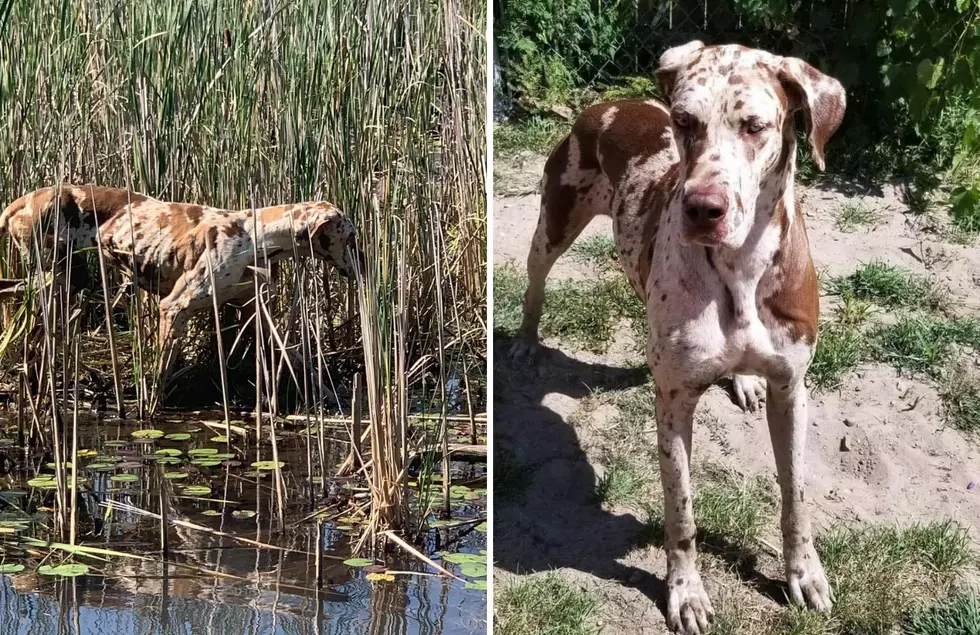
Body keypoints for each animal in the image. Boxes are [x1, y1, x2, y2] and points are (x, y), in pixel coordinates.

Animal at [3, 184, 364, 388]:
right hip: (58, 280)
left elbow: (296, 357)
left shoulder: (254, 309)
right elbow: (160, 378)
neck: (254, 234)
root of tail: (19, 204)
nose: (365, 264)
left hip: (62, 283)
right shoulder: (173, 309)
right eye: (350, 237)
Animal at [512, 42, 848, 632]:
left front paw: (804, 574)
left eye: (755, 126)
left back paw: (742, 382)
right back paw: (528, 341)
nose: (703, 208)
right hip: (554, 221)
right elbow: (682, 511)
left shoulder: (792, 390)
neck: (740, 267)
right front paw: (686, 591)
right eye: (685, 121)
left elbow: (796, 494)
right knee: (537, 281)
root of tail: (610, 103)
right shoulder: (672, 400)